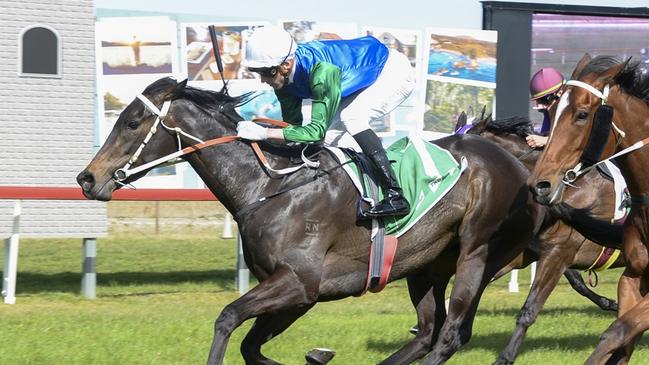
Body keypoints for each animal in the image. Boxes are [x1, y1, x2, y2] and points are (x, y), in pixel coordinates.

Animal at [77, 77, 540, 364]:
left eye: (132, 122)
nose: (87, 179)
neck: (269, 186)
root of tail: (516, 164)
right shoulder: (295, 294)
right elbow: (250, 347)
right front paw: (317, 356)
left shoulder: (301, 282)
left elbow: (227, 317)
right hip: (424, 266)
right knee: (428, 331)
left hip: (476, 253)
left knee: (450, 335)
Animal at [528, 54, 648, 364]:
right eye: (553, 111)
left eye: (582, 115)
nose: (539, 185)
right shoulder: (634, 276)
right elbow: (621, 341)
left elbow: (617, 332)